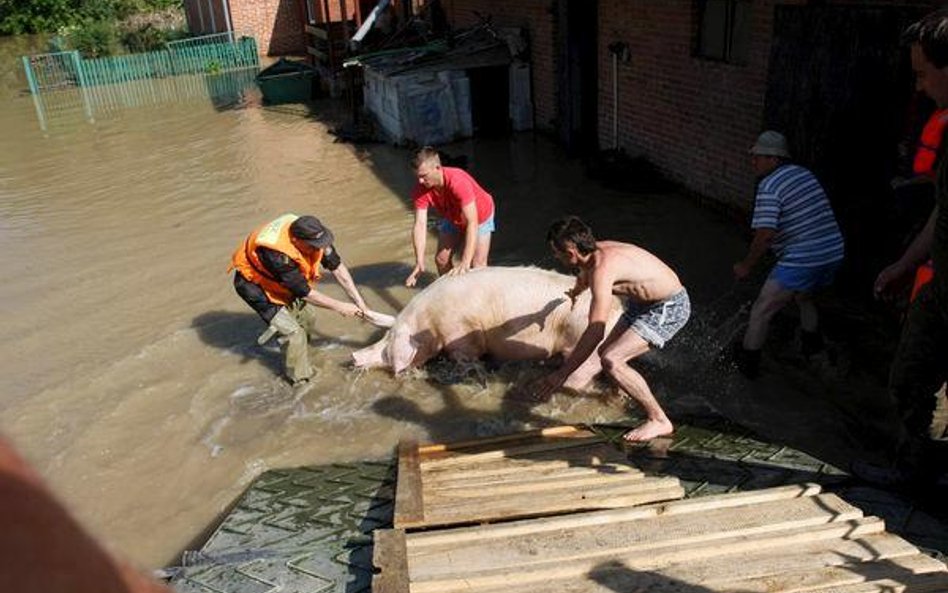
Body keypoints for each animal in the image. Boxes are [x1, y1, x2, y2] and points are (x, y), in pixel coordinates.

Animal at [352, 268, 624, 388]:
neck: (427, 322)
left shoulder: (460, 334)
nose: (353, 356)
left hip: (586, 347)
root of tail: (619, 310)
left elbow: (467, 358)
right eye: (384, 336)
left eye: (387, 345)